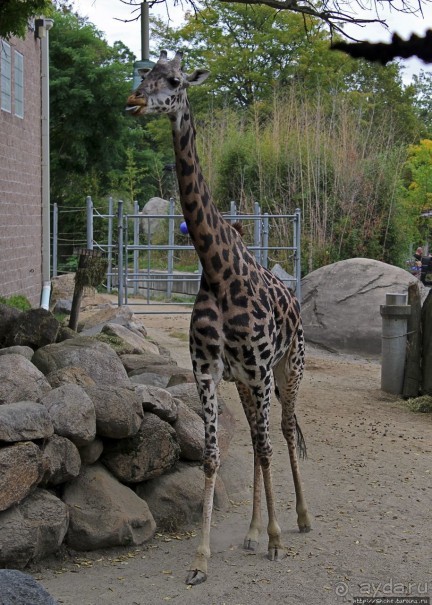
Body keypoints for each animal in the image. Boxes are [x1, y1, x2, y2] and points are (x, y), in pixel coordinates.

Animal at [125, 52, 310, 584]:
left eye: (173, 80)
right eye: (143, 74)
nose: (134, 100)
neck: (217, 268)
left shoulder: (262, 368)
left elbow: (268, 447)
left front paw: (275, 540)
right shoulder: (208, 369)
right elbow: (211, 456)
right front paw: (201, 558)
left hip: (289, 367)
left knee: (283, 431)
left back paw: (300, 520)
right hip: (247, 383)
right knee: (255, 434)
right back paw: (250, 532)